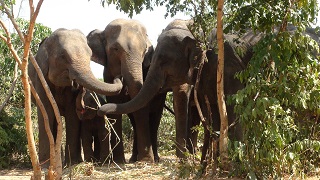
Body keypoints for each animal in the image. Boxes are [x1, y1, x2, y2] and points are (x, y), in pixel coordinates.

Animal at [28, 28, 122, 167]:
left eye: (90, 55)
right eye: (63, 56)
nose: (118, 76)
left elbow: (72, 114)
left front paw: (71, 164)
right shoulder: (40, 78)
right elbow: (46, 111)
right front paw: (45, 166)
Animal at [86, 18, 164, 163]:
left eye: (145, 50)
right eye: (115, 49)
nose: (100, 111)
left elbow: (141, 106)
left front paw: (146, 160)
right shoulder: (107, 74)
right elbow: (116, 102)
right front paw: (118, 160)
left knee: (155, 118)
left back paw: (155, 158)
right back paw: (133, 159)